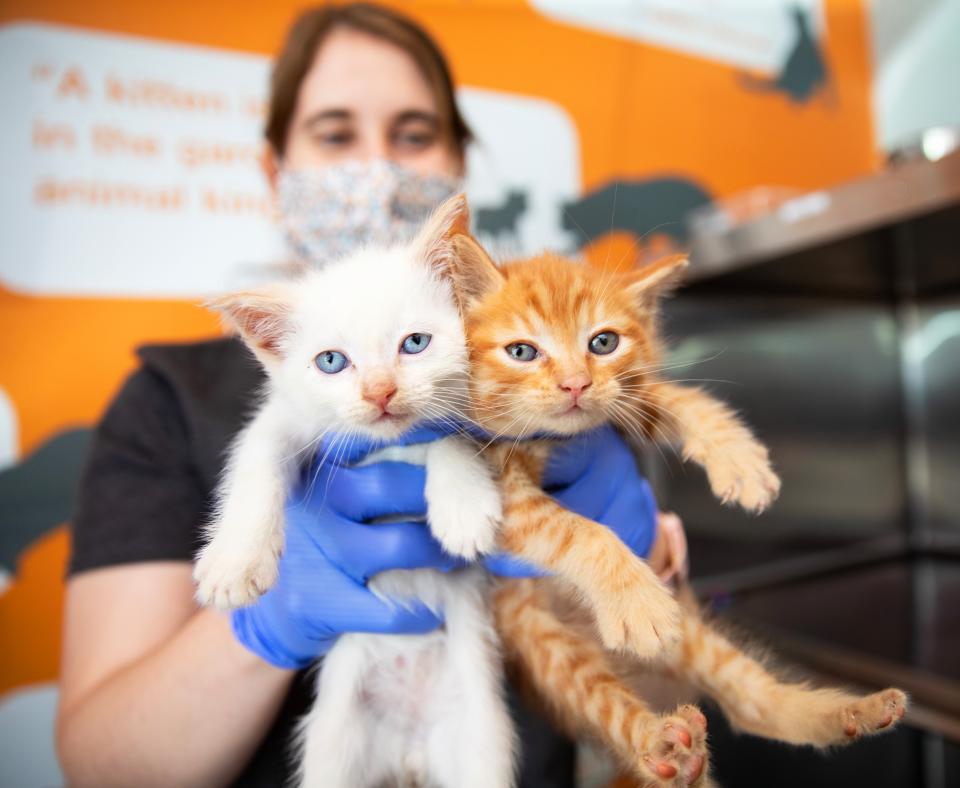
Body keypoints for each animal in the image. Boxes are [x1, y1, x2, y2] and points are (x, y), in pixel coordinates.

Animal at [194, 195, 516, 788]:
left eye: (415, 343)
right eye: (331, 362)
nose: (379, 392)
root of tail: (411, 752)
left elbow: (450, 435)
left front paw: (461, 507)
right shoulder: (288, 417)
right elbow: (257, 456)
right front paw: (235, 562)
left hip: (479, 738)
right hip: (336, 739)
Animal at [436, 206, 908, 784]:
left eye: (603, 343)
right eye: (522, 352)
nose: (575, 385)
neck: (557, 442)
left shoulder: (624, 402)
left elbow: (675, 397)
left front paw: (739, 458)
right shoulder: (497, 491)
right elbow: (577, 529)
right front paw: (637, 600)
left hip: (690, 636)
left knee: (749, 703)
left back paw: (850, 712)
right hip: (547, 647)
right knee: (612, 707)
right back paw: (667, 750)